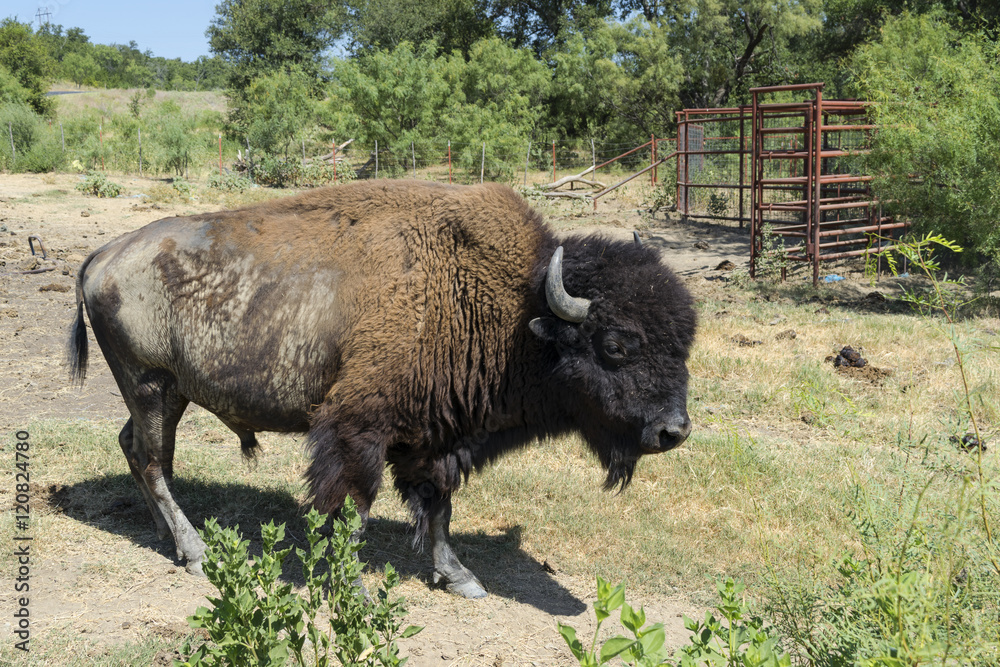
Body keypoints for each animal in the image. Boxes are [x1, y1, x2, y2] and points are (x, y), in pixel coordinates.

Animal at [70, 179, 696, 600]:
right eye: (615, 345)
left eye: (685, 339)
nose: (673, 430)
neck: (515, 309)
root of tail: (102, 255)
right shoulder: (358, 431)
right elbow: (356, 507)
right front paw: (354, 587)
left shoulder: (441, 436)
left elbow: (440, 505)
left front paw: (460, 578)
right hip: (151, 385)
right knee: (152, 460)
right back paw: (195, 551)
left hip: (165, 395)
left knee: (137, 451)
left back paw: (168, 536)